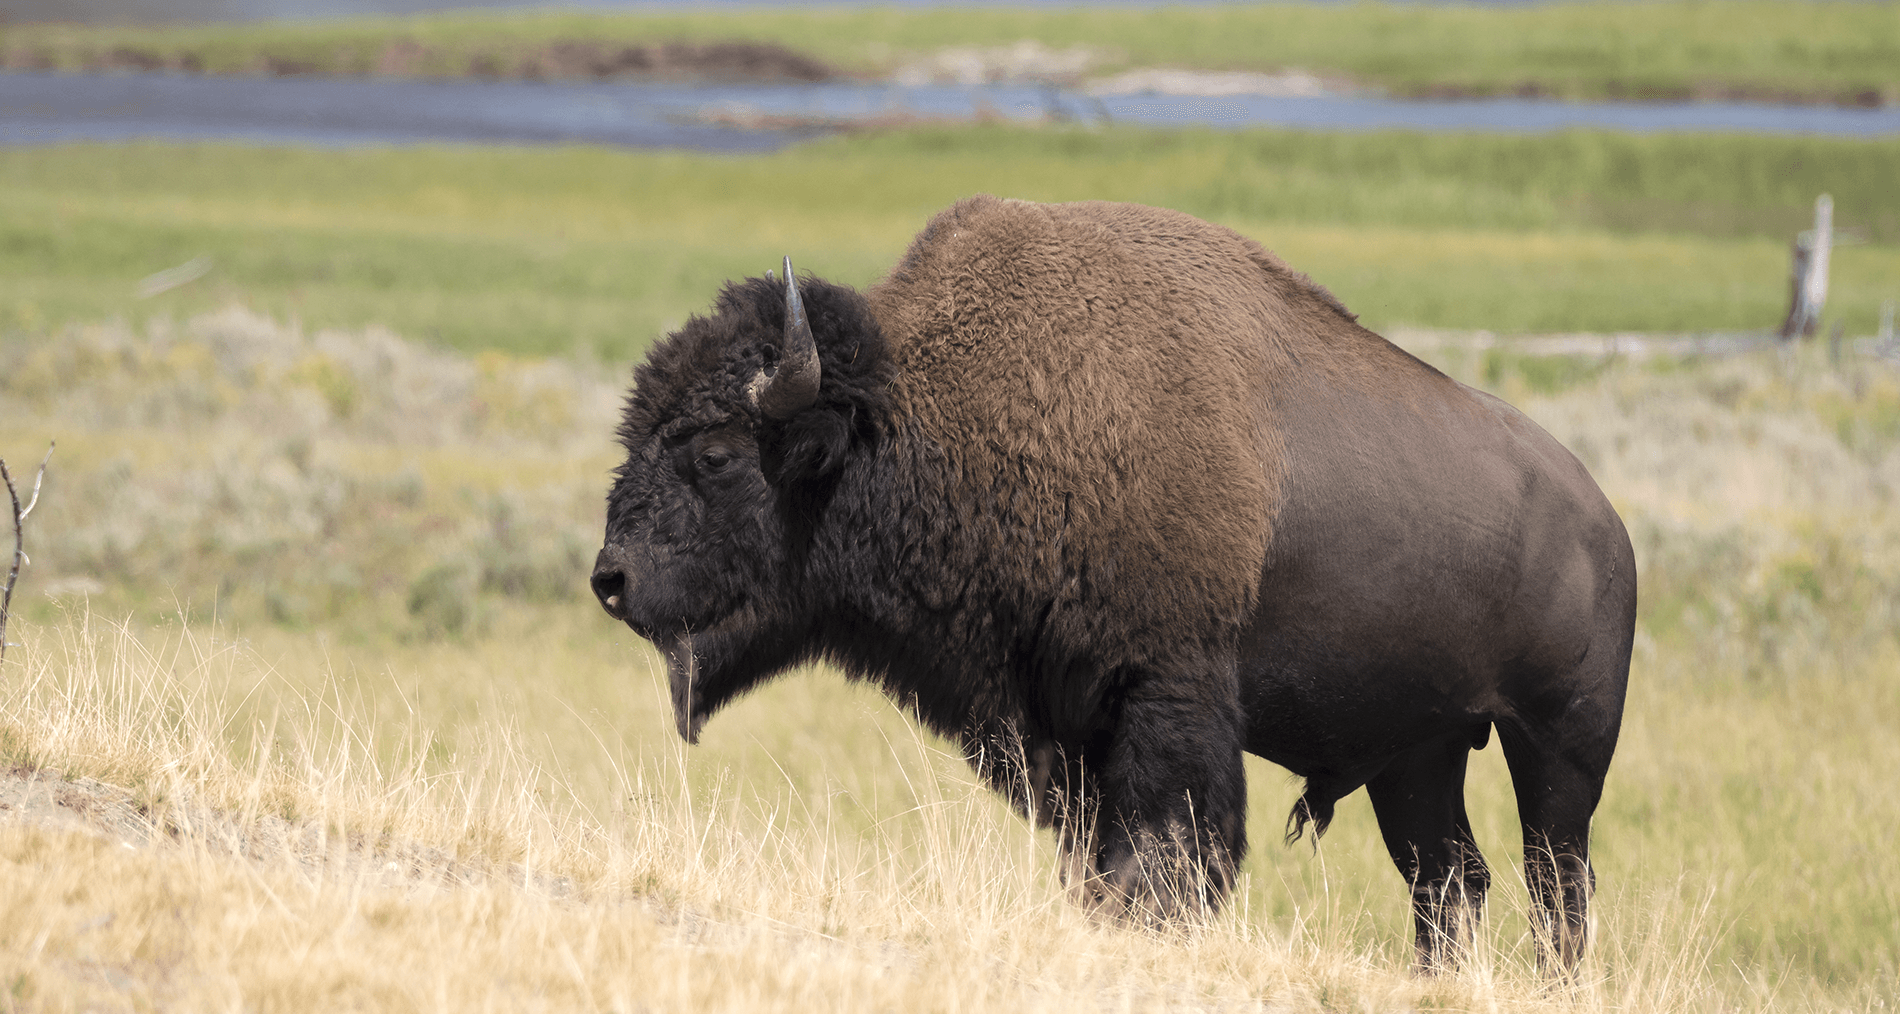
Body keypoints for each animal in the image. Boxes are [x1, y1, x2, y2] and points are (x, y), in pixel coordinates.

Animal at [589, 194, 1634, 972]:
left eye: (717, 454)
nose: (611, 578)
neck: (930, 414)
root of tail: (1606, 524)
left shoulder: (1165, 695)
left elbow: (1171, 845)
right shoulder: (1061, 722)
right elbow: (1096, 856)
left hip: (1558, 748)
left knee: (1556, 881)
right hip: (1418, 752)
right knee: (1450, 877)